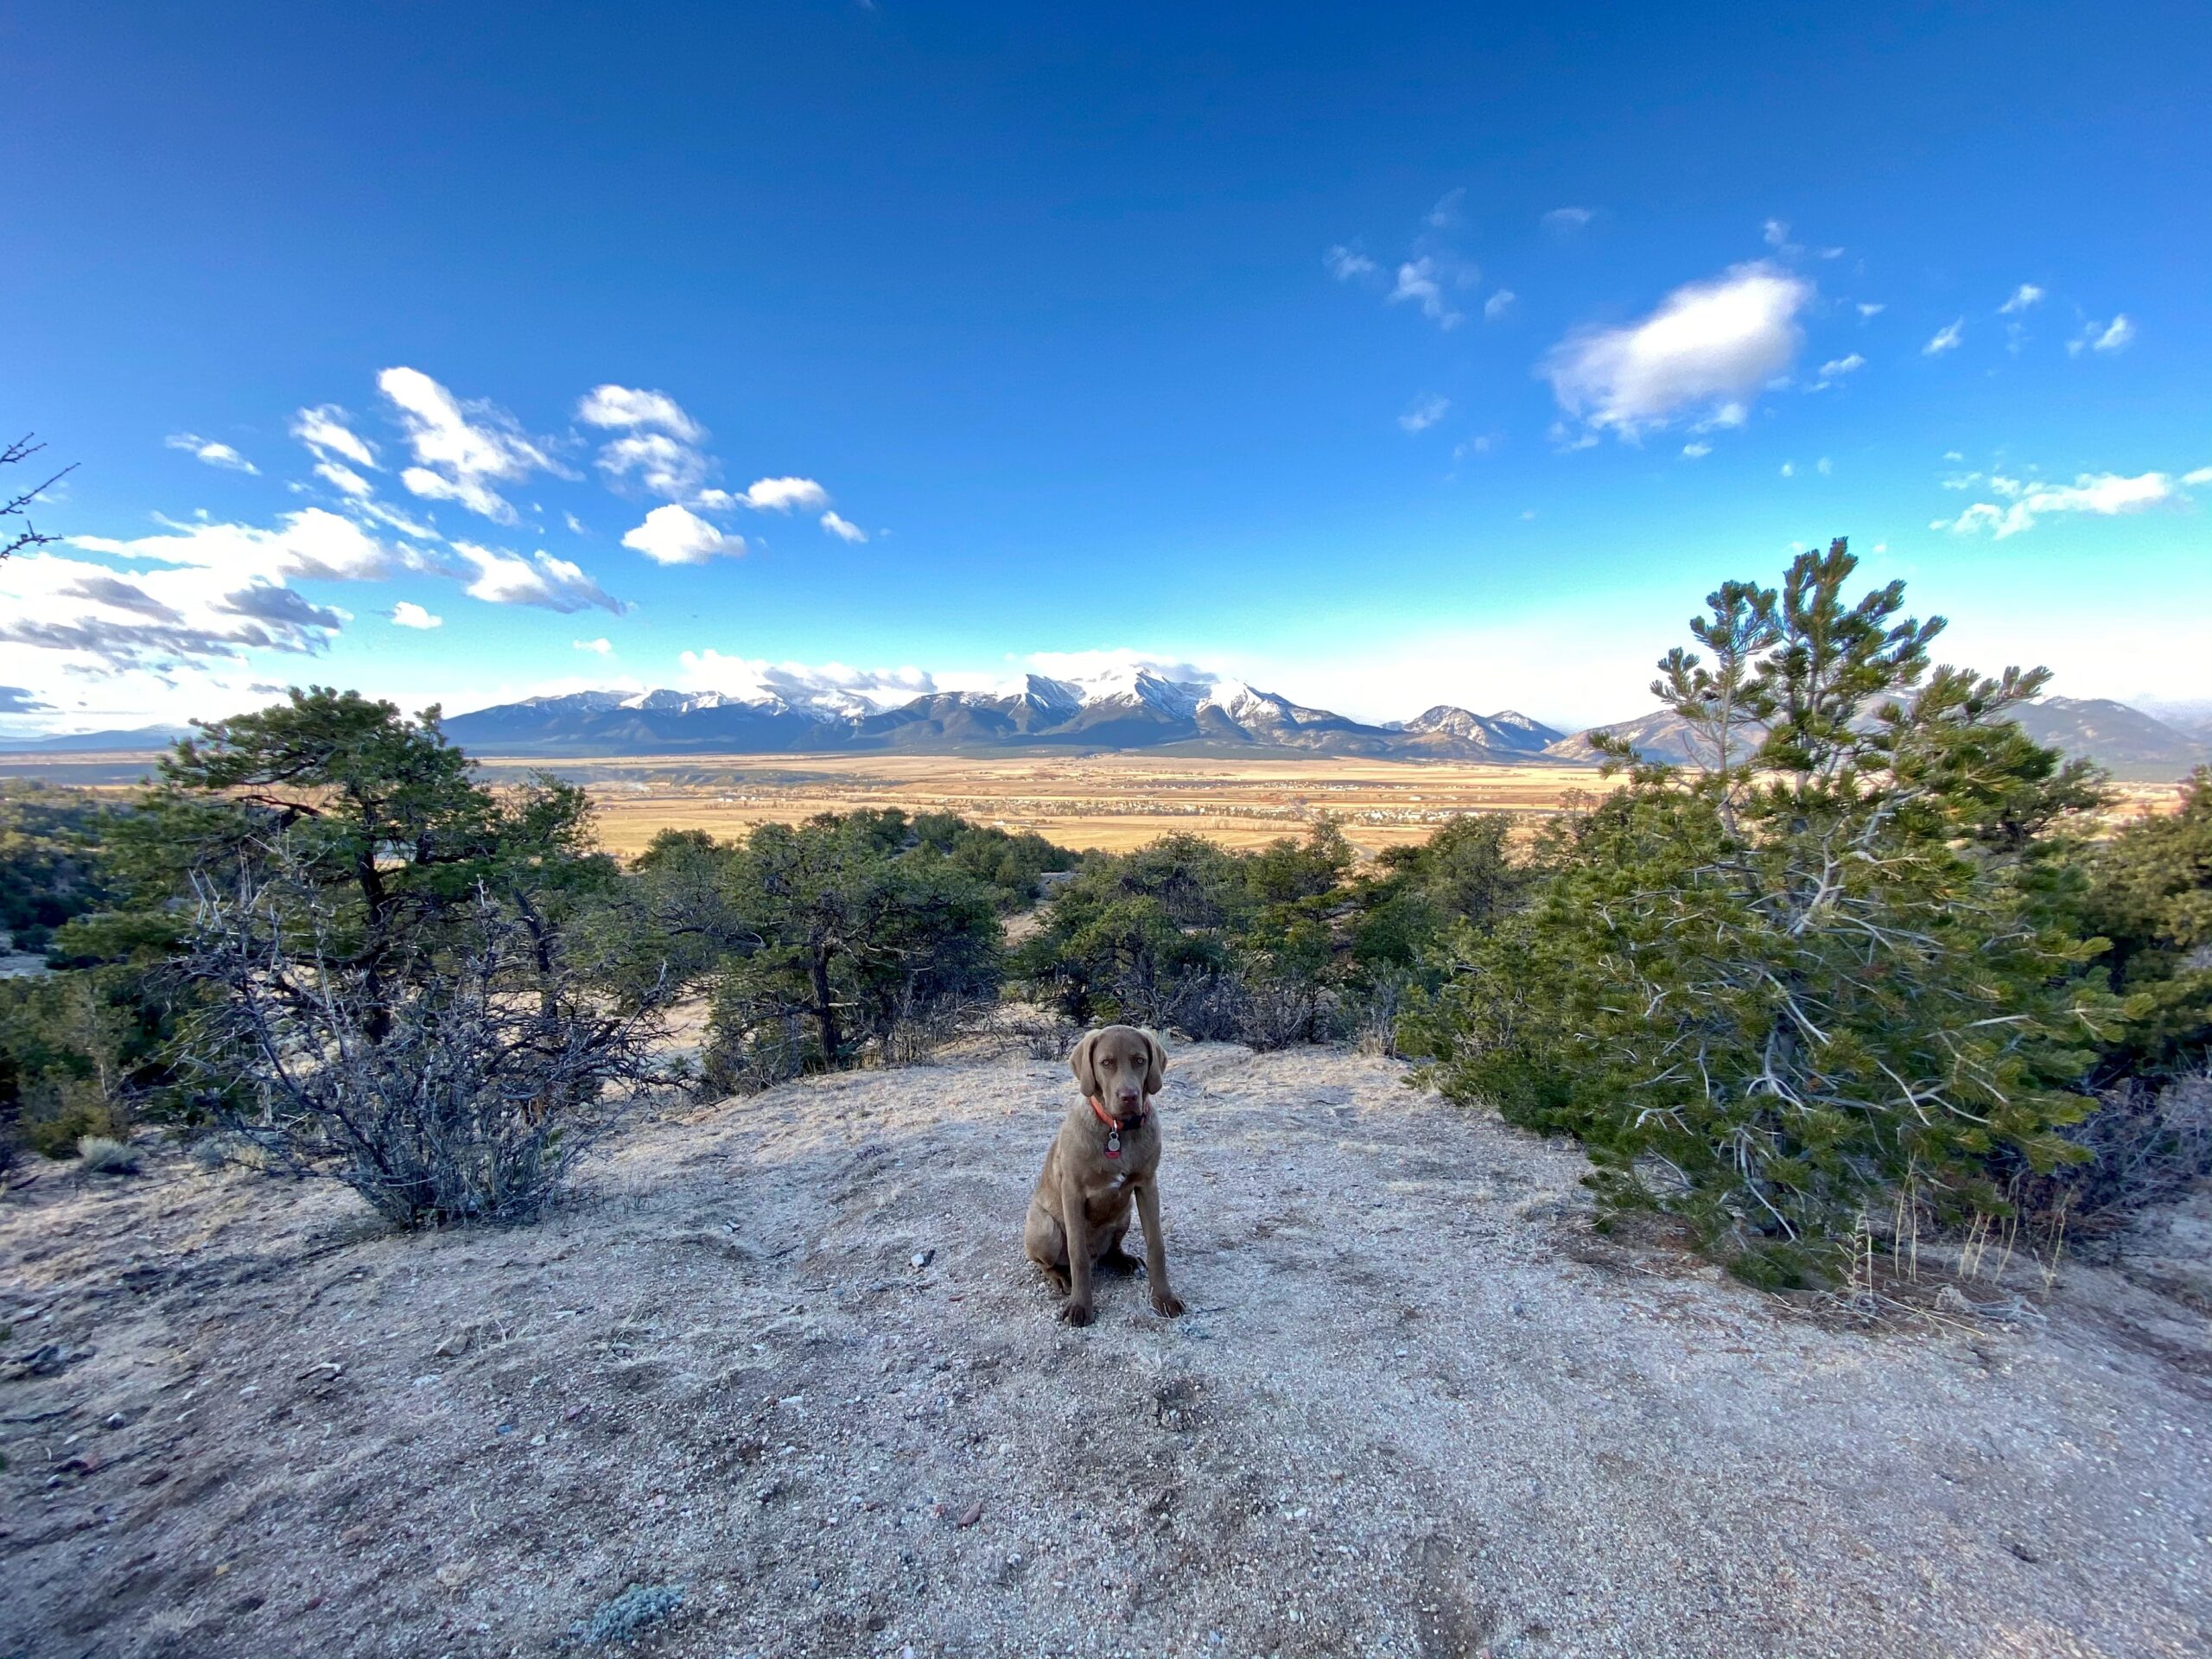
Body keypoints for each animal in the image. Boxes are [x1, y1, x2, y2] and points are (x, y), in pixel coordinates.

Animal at [1021, 1026, 1185, 1327]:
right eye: (1106, 1063)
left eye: (1139, 1060)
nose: (1129, 1096)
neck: (1117, 1130)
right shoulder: (1072, 1192)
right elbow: (1077, 1255)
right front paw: (1080, 1306)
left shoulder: (1147, 1185)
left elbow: (1156, 1244)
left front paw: (1163, 1298)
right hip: (1045, 1228)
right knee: (1044, 1261)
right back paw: (1059, 1277)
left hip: (1124, 1213)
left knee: (1110, 1249)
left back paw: (1125, 1261)